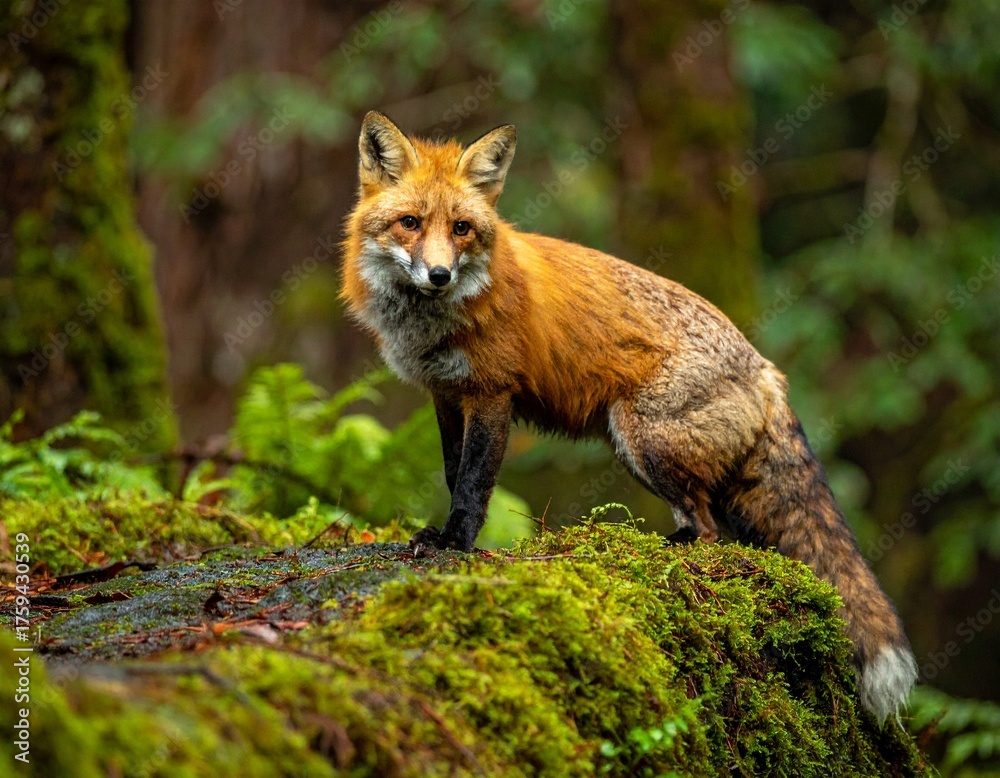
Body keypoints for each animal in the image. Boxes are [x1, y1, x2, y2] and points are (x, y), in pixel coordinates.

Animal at [340, 111, 917, 723]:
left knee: (706, 530)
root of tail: (764, 368)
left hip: (640, 440)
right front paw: (446, 534)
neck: (434, 323)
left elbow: (473, 483)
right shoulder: (448, 396)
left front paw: (455, 542)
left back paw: (666, 548)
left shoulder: (493, 394)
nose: (440, 275)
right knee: (735, 537)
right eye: (410, 223)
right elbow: (454, 473)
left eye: (462, 229)